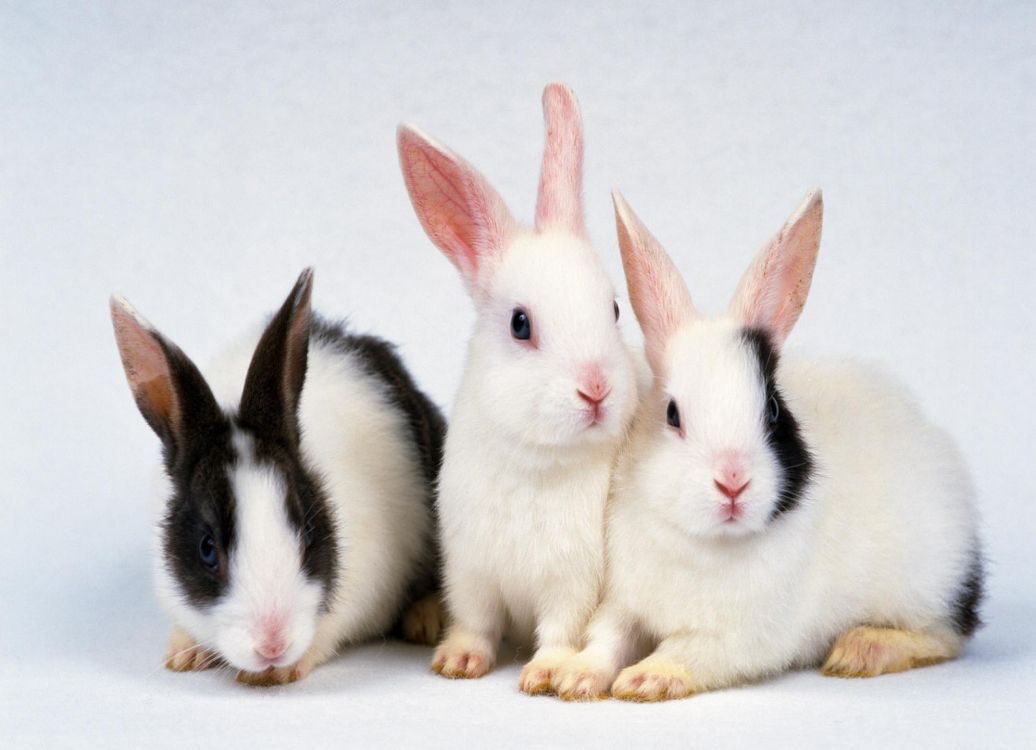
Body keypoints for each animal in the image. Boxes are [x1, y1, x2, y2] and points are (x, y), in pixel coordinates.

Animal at [111, 267, 447, 683]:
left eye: (308, 530)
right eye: (207, 548)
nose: (273, 645)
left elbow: (326, 635)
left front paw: (279, 672)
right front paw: (184, 654)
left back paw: (427, 620)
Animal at [393, 83, 638, 691]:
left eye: (614, 309)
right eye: (520, 324)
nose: (596, 389)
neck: (535, 458)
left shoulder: (572, 582)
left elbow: (560, 630)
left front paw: (546, 673)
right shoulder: (471, 571)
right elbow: (476, 622)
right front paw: (457, 662)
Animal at [547, 188, 982, 704]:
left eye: (773, 411)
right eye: (672, 415)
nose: (733, 482)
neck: (704, 543)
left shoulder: (736, 639)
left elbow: (686, 649)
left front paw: (646, 678)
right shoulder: (624, 602)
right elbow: (606, 638)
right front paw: (576, 677)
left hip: (926, 586)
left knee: (945, 635)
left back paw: (861, 649)